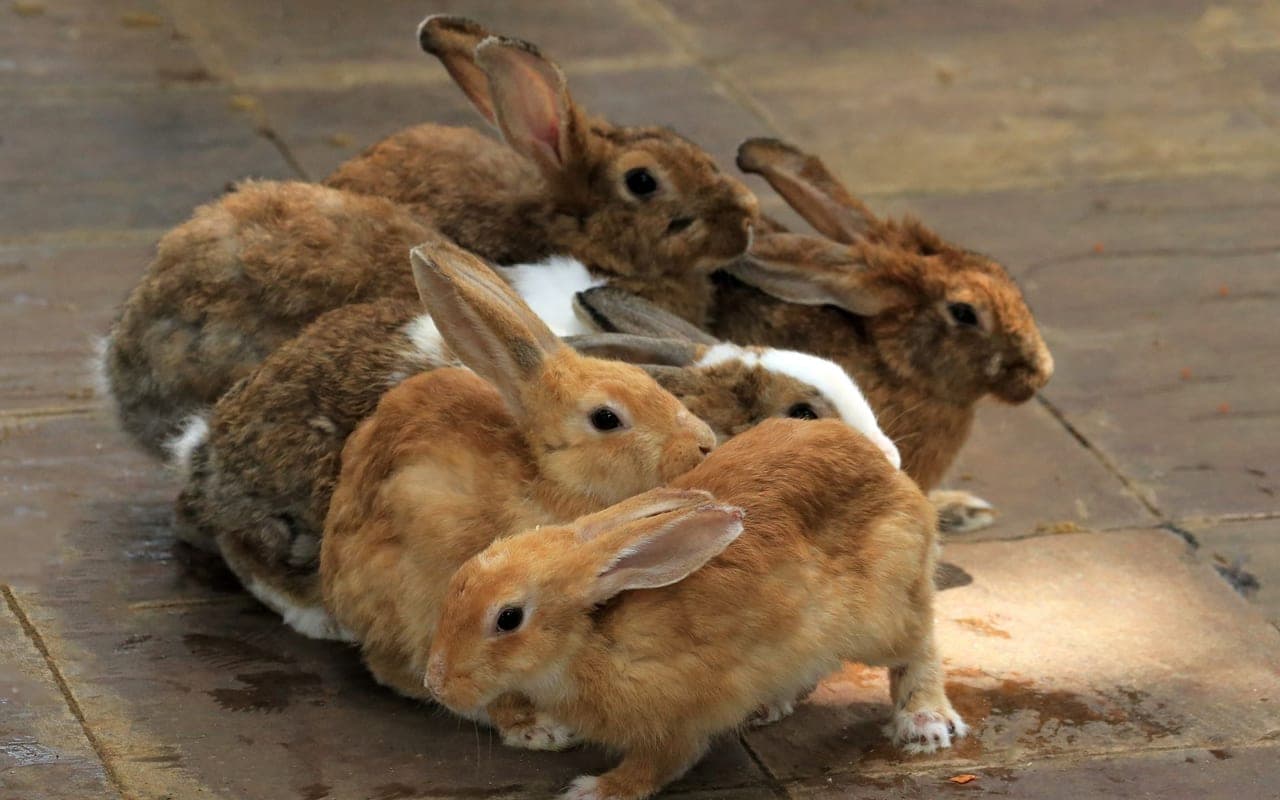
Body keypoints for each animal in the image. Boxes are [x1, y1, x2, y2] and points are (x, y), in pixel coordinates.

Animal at [427, 418, 967, 800]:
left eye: (508, 618)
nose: (437, 685)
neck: (592, 639)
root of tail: (893, 476)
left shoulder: (676, 721)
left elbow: (657, 766)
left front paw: (593, 790)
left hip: (882, 615)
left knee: (920, 647)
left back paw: (925, 723)